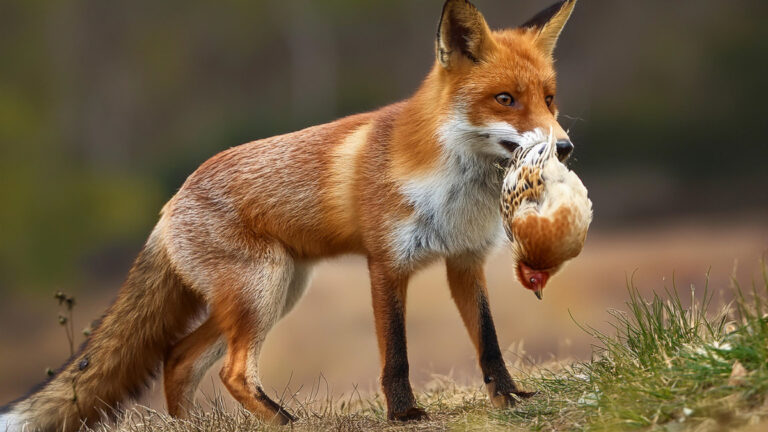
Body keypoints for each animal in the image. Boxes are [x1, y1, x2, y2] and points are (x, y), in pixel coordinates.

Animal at [0, 0, 579, 430]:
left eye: (550, 99)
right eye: (505, 99)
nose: (565, 148)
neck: (455, 187)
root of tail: (168, 206)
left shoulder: (465, 259)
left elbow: (489, 342)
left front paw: (509, 398)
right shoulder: (386, 263)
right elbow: (396, 353)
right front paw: (404, 413)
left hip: (276, 291)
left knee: (179, 357)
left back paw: (193, 425)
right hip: (263, 289)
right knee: (231, 371)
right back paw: (284, 421)